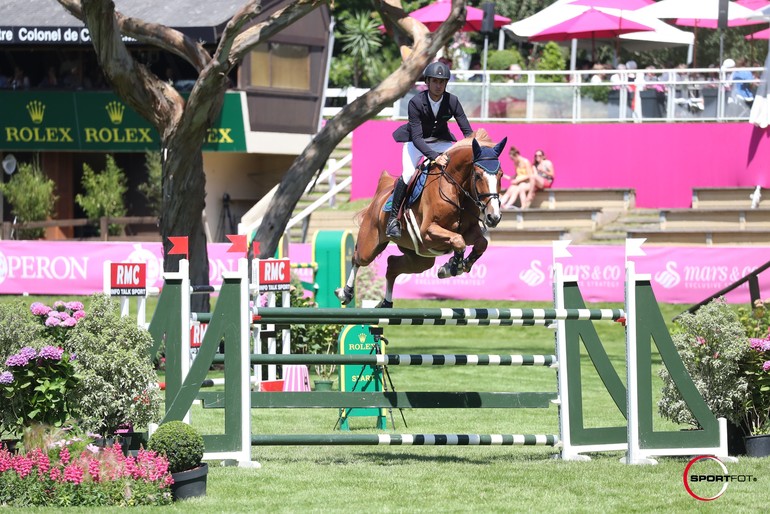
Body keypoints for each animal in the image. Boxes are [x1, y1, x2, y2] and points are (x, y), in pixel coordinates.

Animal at [334, 129, 508, 304]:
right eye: (478, 175)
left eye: (501, 174)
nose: (494, 217)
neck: (455, 190)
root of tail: (381, 192)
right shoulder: (427, 232)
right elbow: (458, 240)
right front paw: (453, 267)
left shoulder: (469, 231)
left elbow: (481, 243)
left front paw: (454, 266)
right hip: (371, 244)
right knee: (357, 258)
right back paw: (345, 293)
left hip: (420, 258)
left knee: (392, 265)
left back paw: (386, 303)